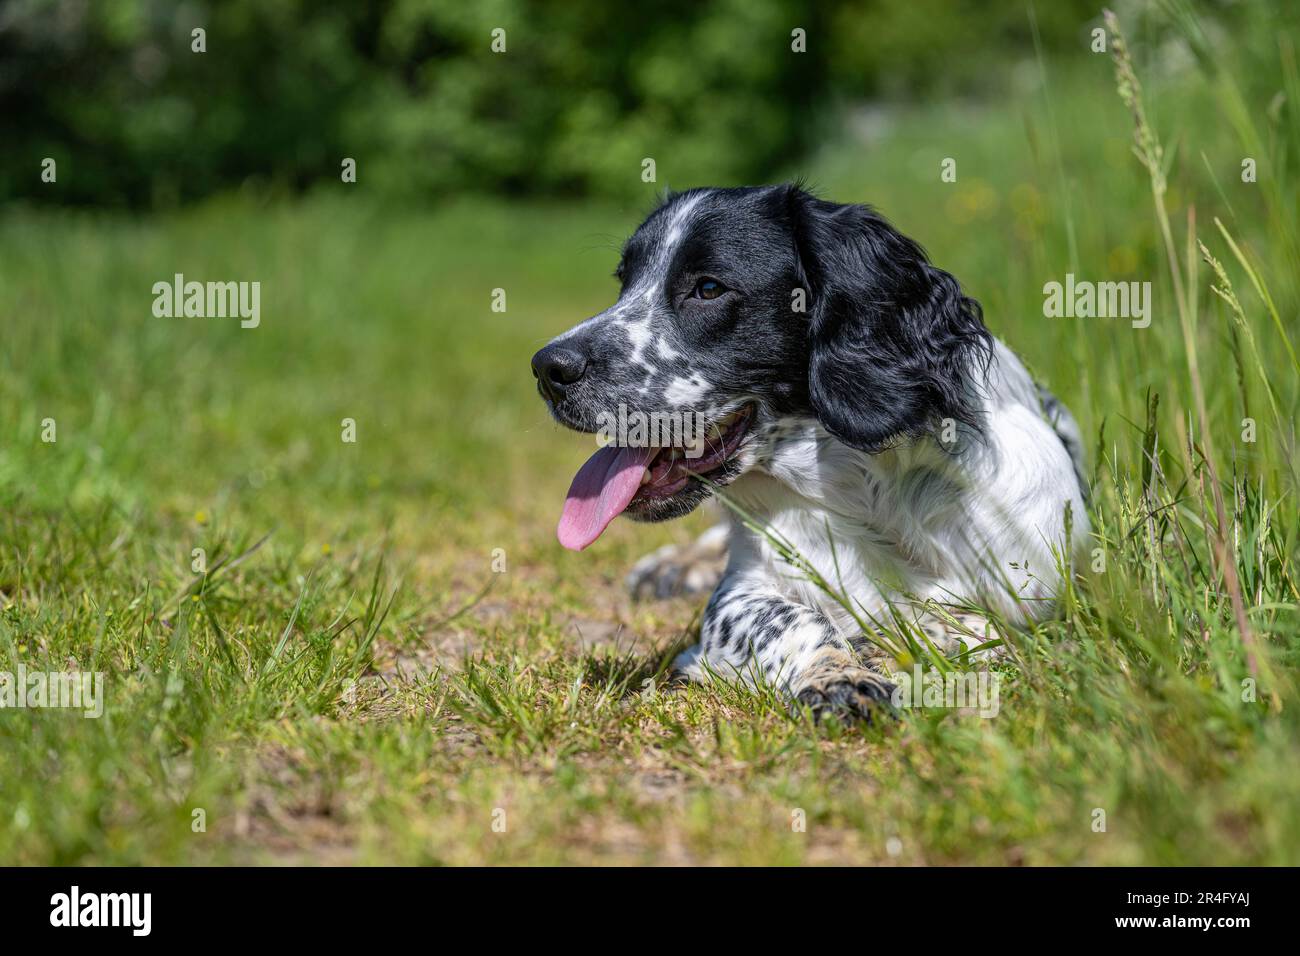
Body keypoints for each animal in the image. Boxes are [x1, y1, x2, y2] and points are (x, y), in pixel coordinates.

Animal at [527, 187, 1086, 723]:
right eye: (624, 281)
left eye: (708, 288)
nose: (547, 369)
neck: (860, 494)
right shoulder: (739, 592)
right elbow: (789, 620)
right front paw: (836, 676)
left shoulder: (1042, 590)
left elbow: (972, 623)